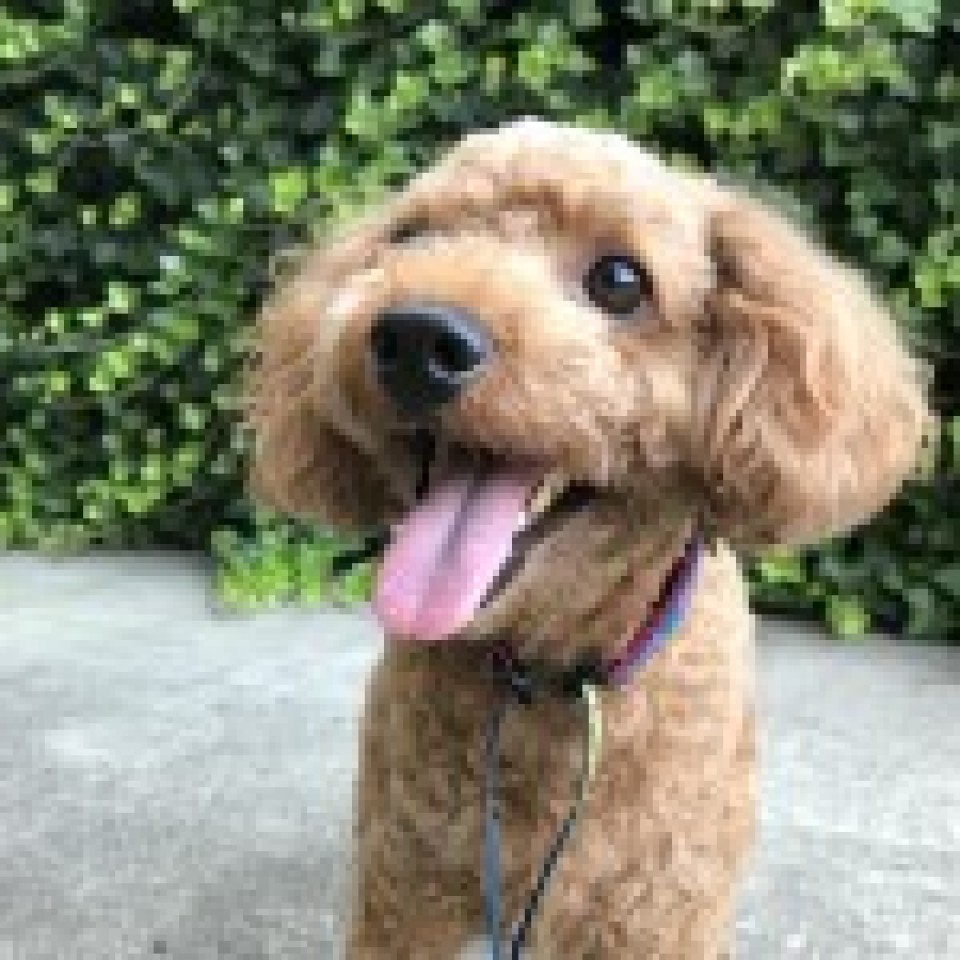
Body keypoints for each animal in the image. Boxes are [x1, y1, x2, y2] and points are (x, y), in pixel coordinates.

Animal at [249, 119, 928, 958]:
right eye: (411, 236)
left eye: (620, 280)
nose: (415, 337)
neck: (548, 675)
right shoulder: (403, 888)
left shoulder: (654, 916)